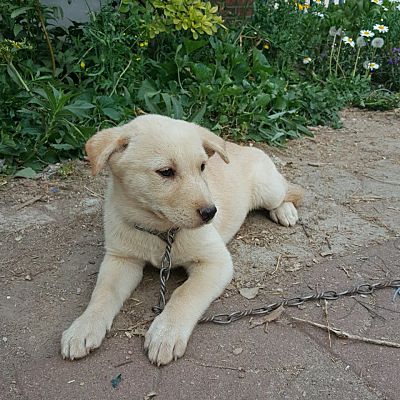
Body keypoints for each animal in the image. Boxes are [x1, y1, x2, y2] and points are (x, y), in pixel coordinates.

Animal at [60, 113, 304, 366]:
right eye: (166, 171)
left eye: (202, 167)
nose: (211, 212)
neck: (159, 231)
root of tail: (242, 146)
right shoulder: (121, 259)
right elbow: (103, 292)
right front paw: (84, 327)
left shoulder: (215, 262)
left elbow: (184, 294)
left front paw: (166, 332)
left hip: (268, 189)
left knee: (290, 191)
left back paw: (285, 211)